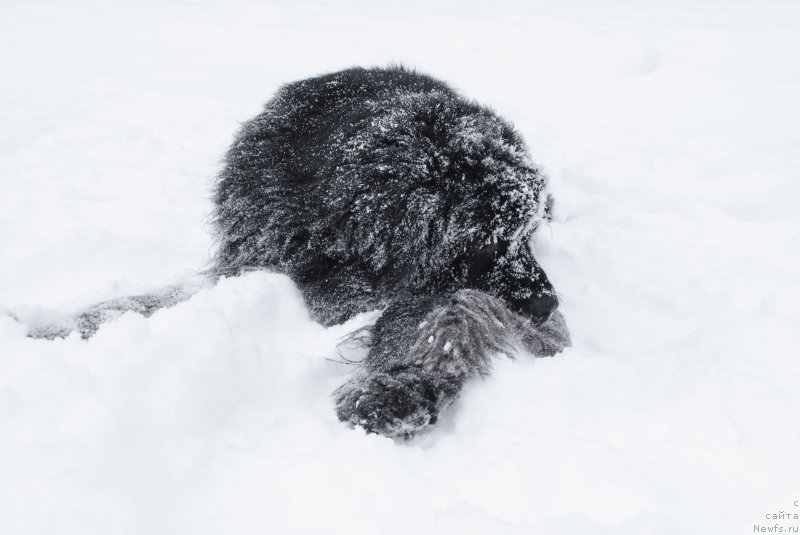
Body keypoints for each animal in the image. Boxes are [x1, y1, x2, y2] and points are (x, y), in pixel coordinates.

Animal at [31, 67, 572, 438]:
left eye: (527, 235)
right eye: (488, 243)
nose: (549, 306)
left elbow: (440, 315)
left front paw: (395, 388)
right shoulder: (252, 259)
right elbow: (146, 301)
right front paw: (53, 325)